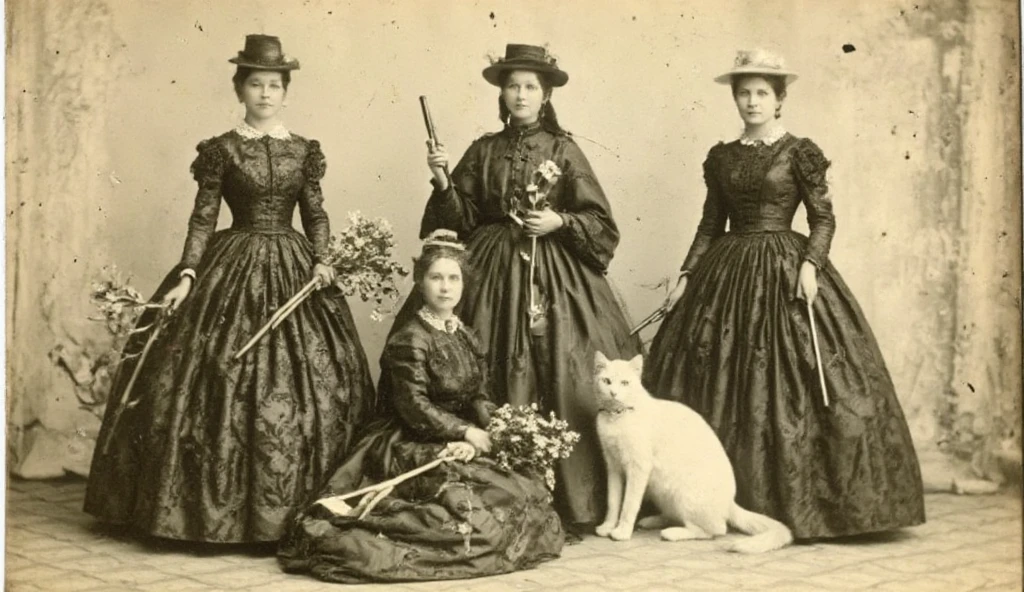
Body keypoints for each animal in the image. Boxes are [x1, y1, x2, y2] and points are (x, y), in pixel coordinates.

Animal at [593, 348, 790, 548]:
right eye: (607, 381)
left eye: (625, 383)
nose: (613, 393)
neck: (616, 416)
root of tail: (730, 503)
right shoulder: (613, 467)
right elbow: (613, 501)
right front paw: (607, 527)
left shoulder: (638, 467)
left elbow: (629, 504)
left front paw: (622, 531)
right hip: (662, 493)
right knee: (676, 516)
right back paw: (653, 521)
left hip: (685, 496)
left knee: (716, 530)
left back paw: (672, 533)